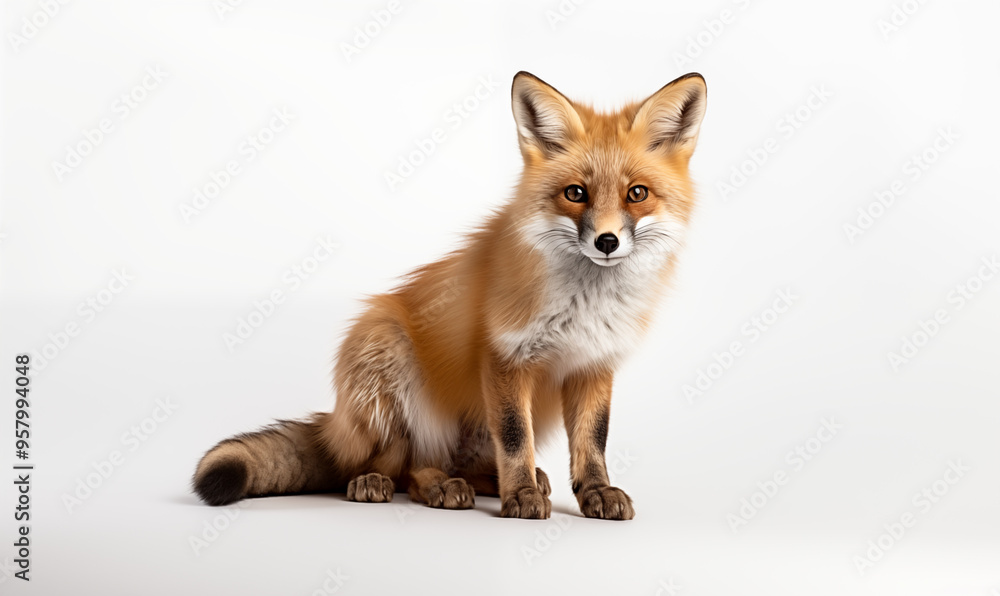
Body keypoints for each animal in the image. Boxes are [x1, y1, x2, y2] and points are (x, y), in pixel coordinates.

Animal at [193, 71, 707, 520]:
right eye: (575, 193)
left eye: (636, 193)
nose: (606, 242)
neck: (586, 304)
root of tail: (337, 425)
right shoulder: (504, 357)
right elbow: (515, 439)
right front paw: (520, 496)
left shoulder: (594, 364)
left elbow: (592, 443)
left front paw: (594, 492)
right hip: (386, 357)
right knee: (404, 467)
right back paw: (409, 485)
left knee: (452, 466)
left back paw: (488, 481)